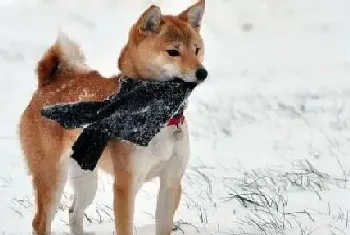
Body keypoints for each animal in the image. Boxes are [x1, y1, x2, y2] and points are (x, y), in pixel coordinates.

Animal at [18, 0, 205, 234]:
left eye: (197, 50)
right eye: (173, 52)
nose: (203, 73)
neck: (159, 117)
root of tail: (49, 84)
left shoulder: (170, 183)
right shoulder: (126, 185)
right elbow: (124, 226)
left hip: (86, 176)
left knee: (73, 213)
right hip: (52, 177)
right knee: (41, 222)